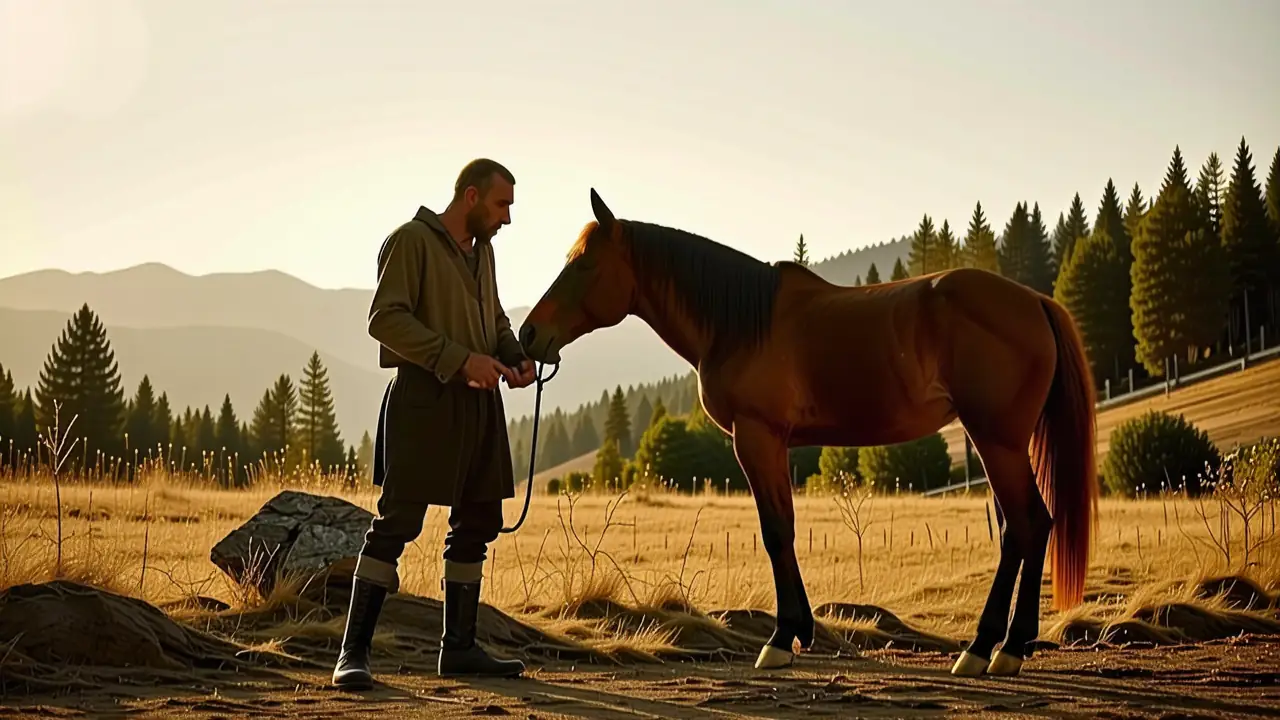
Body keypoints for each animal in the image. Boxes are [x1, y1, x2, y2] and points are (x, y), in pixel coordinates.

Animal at [517, 189, 1099, 677]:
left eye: (584, 264)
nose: (528, 334)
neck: (738, 323)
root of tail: (1035, 302)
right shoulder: (775, 445)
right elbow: (788, 529)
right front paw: (799, 632)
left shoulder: (756, 438)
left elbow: (776, 533)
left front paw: (779, 640)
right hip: (1001, 442)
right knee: (1023, 529)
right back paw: (1002, 646)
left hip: (996, 440)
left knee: (1027, 524)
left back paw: (992, 650)